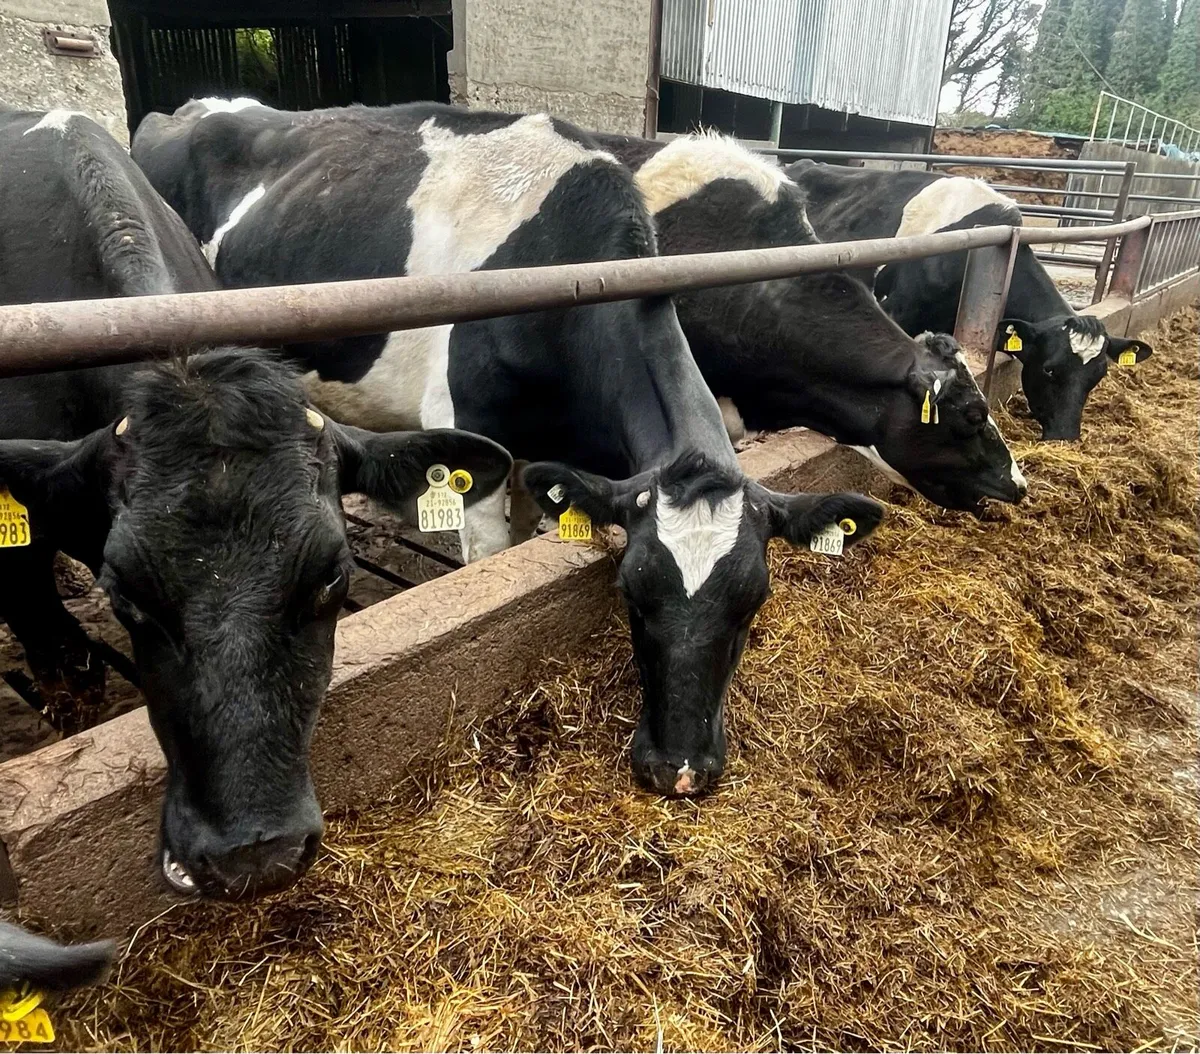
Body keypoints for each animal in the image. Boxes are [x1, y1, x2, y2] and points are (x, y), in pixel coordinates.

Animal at [132, 99, 886, 797]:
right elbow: (492, 564)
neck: (565, 269)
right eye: (633, 593)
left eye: (753, 601)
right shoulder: (473, 440)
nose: (677, 771)